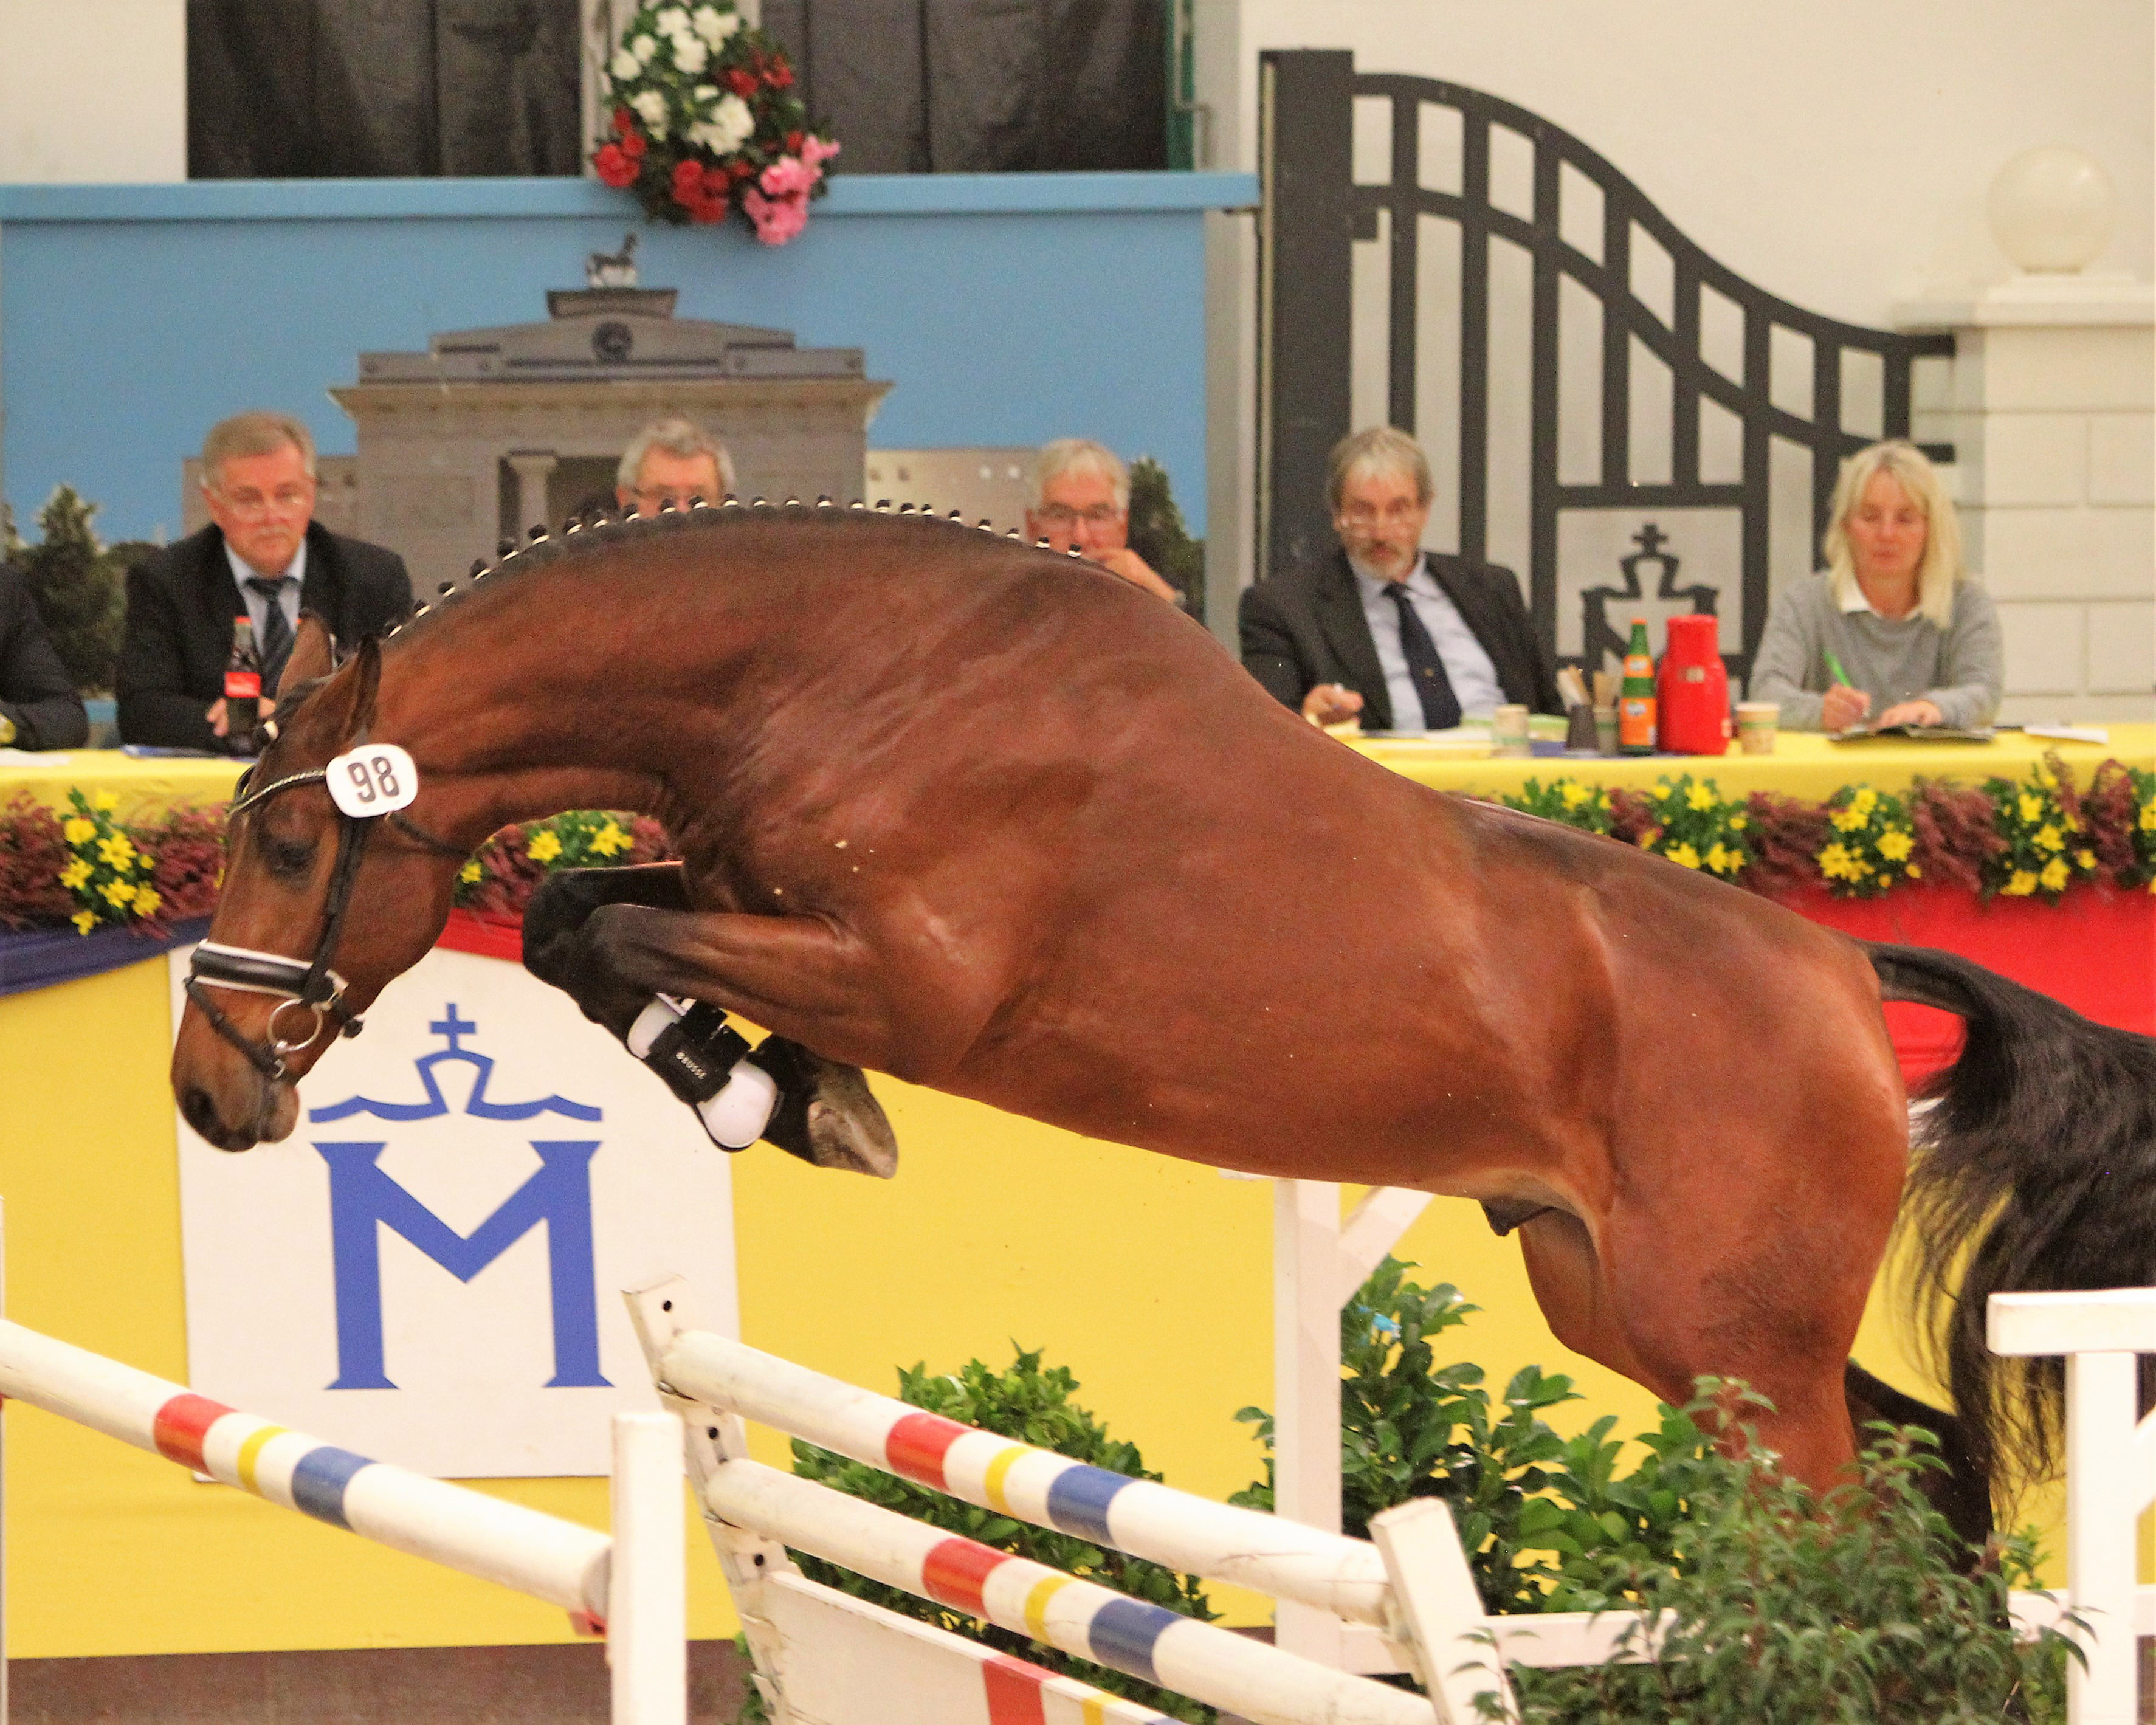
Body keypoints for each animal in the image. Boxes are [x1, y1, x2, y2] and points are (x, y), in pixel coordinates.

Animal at [172, 498, 2156, 1535]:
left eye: (289, 839)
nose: (202, 1091)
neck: (845, 668)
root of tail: (1841, 973)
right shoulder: (762, 904)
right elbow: (591, 918)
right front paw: (777, 1088)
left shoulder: (913, 972)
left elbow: (605, 923)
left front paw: (786, 1100)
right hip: (1627, 1308)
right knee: (1917, 1465)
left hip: (1731, 1344)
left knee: (1857, 1511)